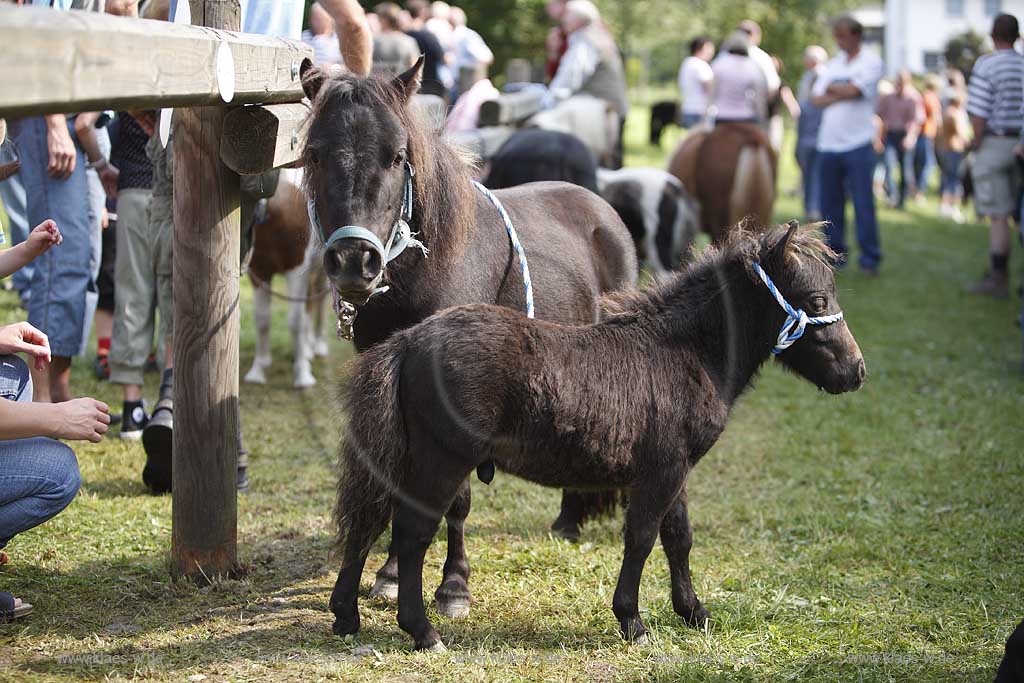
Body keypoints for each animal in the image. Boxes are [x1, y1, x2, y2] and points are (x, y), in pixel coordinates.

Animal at [299, 58, 638, 626]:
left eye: (397, 156)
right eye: (314, 154)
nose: (353, 262)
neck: (425, 269)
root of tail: (599, 208)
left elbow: (453, 497)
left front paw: (453, 586)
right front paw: (391, 575)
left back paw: (571, 517)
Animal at [327, 224, 864, 651]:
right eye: (817, 301)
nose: (856, 372)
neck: (685, 353)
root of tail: (409, 341)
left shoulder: (674, 469)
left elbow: (679, 538)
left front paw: (694, 613)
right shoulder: (661, 472)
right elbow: (643, 537)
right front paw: (634, 622)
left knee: (371, 518)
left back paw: (346, 615)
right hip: (441, 462)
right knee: (412, 532)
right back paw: (423, 632)